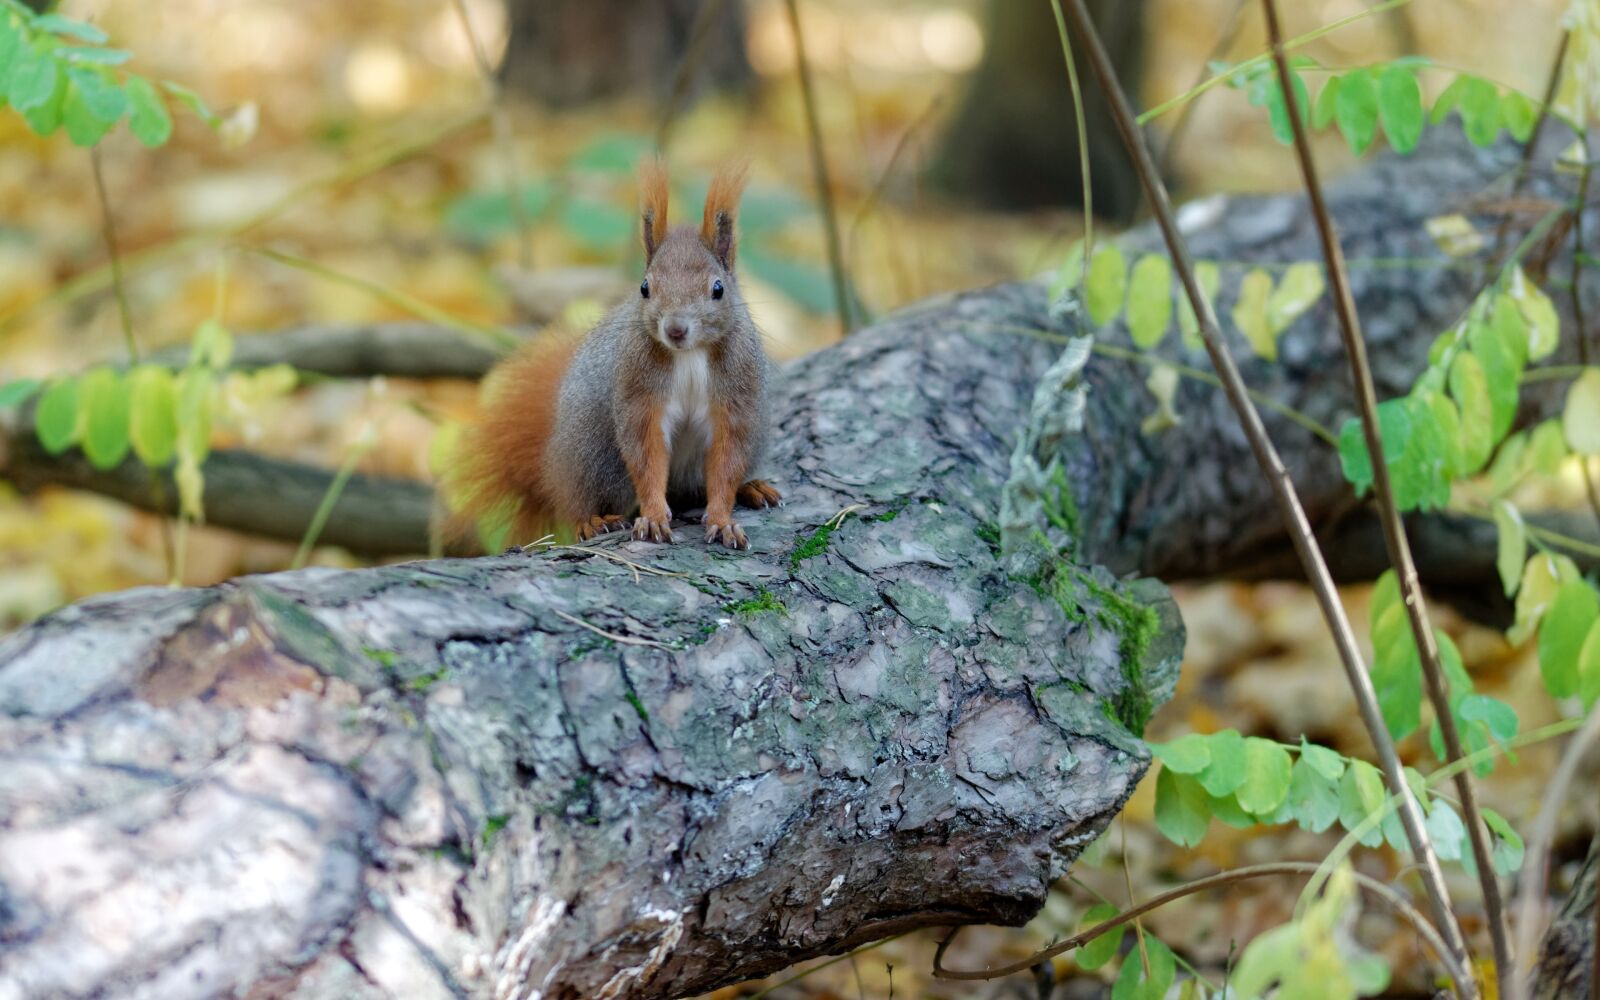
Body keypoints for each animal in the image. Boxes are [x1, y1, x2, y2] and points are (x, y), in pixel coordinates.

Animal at [445, 162, 782, 551]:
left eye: (718, 289)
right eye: (645, 287)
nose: (675, 329)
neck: (689, 355)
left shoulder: (737, 394)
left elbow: (727, 458)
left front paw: (724, 520)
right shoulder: (637, 389)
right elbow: (646, 452)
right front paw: (653, 517)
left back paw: (751, 487)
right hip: (596, 459)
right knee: (578, 501)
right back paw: (593, 520)